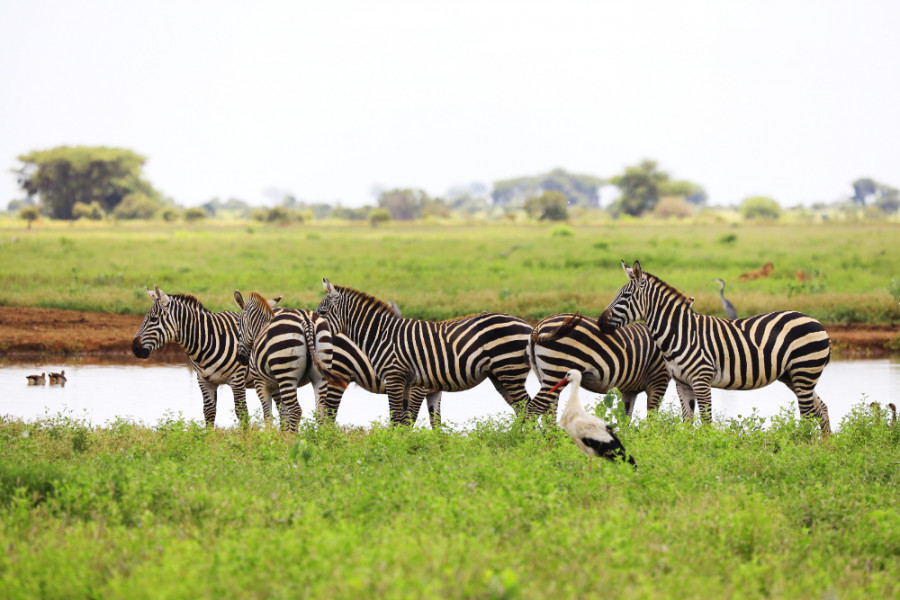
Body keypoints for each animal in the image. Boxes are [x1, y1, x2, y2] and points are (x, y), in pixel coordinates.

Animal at [130, 286, 251, 426]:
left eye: (153, 319)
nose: (134, 348)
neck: (208, 341)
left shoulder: (237, 379)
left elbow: (242, 412)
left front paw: (246, 433)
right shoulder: (204, 380)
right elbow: (209, 413)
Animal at [234, 290, 336, 432]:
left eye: (238, 323)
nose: (241, 358)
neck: (259, 328)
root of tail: (307, 321)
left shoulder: (261, 383)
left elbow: (268, 415)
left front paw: (270, 435)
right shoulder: (277, 384)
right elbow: (283, 414)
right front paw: (282, 434)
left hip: (286, 374)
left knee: (296, 410)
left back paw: (292, 437)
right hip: (320, 374)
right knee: (320, 410)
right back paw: (320, 437)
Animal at [314, 278, 536, 424]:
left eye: (322, 312)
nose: (314, 328)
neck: (381, 334)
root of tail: (528, 326)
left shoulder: (399, 379)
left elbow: (401, 419)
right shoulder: (410, 383)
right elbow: (413, 421)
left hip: (509, 371)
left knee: (527, 408)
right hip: (501, 375)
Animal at [524, 314, 672, 422]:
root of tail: (539, 325)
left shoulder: (630, 389)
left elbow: (625, 418)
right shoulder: (659, 378)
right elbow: (652, 416)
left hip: (545, 377)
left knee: (549, 411)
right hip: (557, 371)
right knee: (534, 408)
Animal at [596, 260, 832, 434]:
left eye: (625, 296)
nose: (600, 323)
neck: (680, 333)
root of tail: (818, 323)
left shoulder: (701, 379)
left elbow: (707, 421)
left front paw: (708, 451)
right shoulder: (682, 383)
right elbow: (688, 422)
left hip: (804, 371)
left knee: (808, 414)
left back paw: (803, 447)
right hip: (794, 376)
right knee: (821, 408)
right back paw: (824, 448)